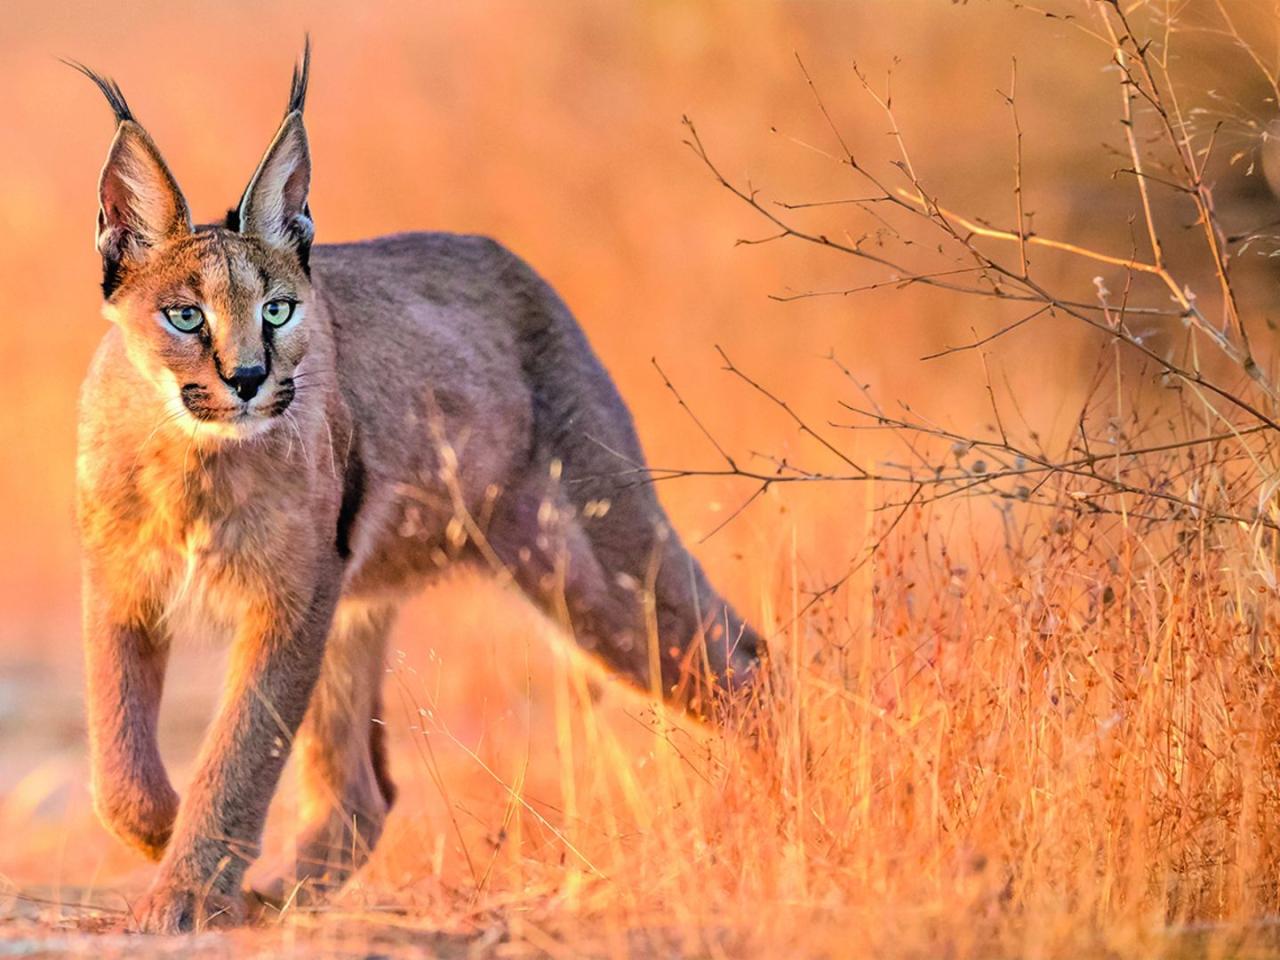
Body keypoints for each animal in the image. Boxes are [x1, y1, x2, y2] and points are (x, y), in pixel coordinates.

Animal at [70, 43, 757, 931]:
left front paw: (189, 890)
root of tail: (514, 264)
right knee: (364, 793)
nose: (250, 378)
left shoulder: (291, 594)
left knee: (743, 664)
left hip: (595, 566)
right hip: (367, 598)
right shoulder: (125, 583)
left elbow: (242, 745)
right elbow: (116, 749)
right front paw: (176, 851)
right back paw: (278, 901)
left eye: (280, 310)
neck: (194, 454)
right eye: (185, 317)